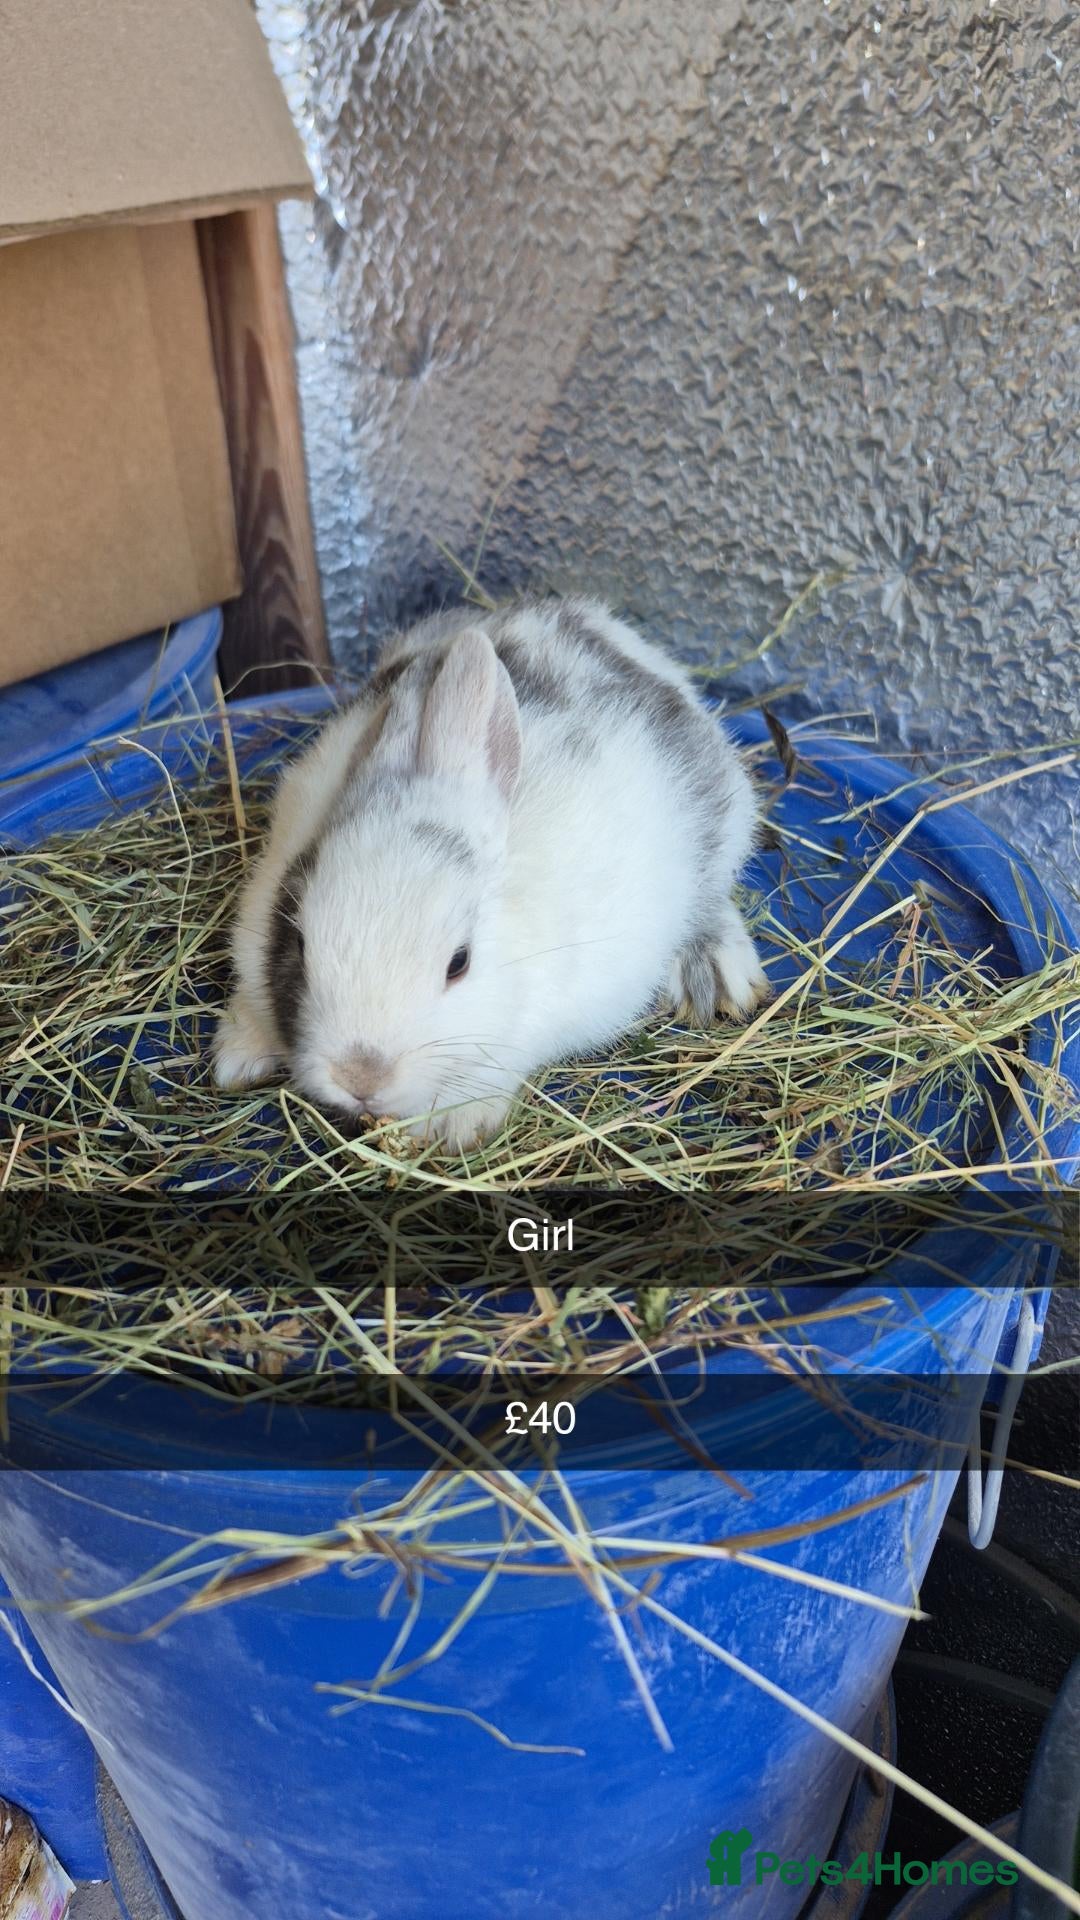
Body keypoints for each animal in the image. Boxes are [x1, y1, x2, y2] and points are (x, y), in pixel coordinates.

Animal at [213, 596, 768, 1151]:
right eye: (299, 943)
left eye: (459, 963)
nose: (361, 1077)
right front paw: (237, 1059)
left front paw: (455, 1126)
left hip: (723, 813)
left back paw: (718, 975)